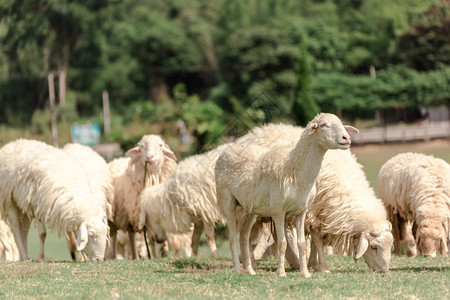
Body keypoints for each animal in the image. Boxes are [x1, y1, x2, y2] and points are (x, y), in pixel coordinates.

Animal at [214, 113, 358, 276]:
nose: (346, 138)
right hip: (227, 200)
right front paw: (281, 272)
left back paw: (250, 270)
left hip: (251, 206)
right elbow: (282, 243)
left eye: (341, 124)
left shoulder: (301, 211)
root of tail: (228, 148)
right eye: (323, 125)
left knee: (244, 235)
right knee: (232, 236)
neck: (293, 170)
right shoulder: (278, 211)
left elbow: (302, 244)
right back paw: (238, 269)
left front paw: (305, 273)